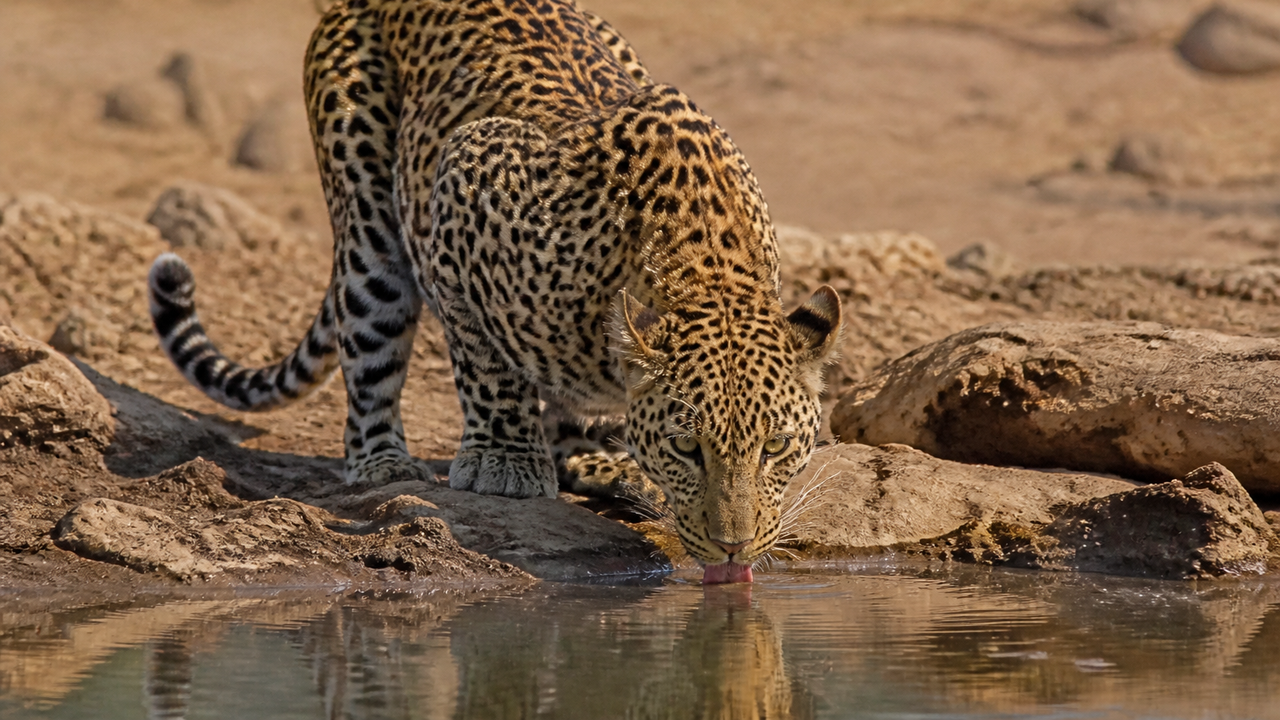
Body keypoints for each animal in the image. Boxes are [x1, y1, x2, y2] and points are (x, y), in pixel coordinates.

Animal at [147, 0, 842, 583]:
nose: (734, 547)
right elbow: (486, 365)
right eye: (686, 447)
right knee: (368, 346)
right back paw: (384, 463)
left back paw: (602, 463)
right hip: (369, 222)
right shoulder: (461, 187)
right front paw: (505, 462)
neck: (702, 269)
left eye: (776, 447)